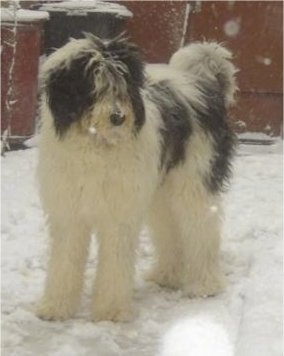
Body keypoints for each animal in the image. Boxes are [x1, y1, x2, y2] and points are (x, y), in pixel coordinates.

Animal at [37, 34, 237, 322]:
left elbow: (115, 259)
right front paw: (56, 307)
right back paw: (167, 275)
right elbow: (65, 259)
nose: (118, 117)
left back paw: (205, 284)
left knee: (202, 228)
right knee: (169, 229)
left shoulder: (118, 213)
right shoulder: (69, 211)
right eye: (94, 87)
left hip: (193, 181)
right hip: (160, 193)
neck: (96, 145)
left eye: (122, 86)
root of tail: (205, 84)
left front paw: (111, 310)